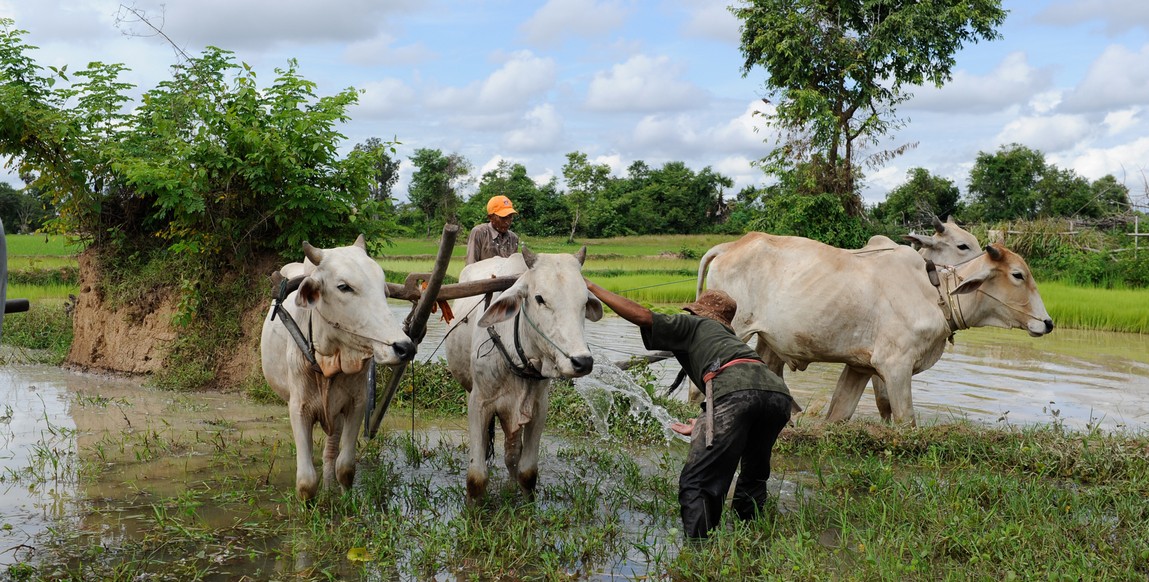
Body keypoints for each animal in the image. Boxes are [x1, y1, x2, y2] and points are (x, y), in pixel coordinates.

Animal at [261, 236, 418, 500]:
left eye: (384, 290)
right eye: (344, 287)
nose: (404, 347)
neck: (329, 358)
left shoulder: (356, 405)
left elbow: (345, 467)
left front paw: (345, 499)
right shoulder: (299, 408)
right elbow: (306, 480)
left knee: (330, 451)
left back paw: (328, 486)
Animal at [441, 247, 602, 502]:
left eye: (584, 301)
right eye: (539, 298)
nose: (582, 361)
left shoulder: (538, 407)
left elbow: (527, 472)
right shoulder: (479, 404)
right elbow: (476, 478)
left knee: (511, 452)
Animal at [693, 234, 1052, 427]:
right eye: (1018, 275)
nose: (1047, 323)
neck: (934, 293)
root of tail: (732, 245)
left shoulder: (861, 366)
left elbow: (839, 414)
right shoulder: (895, 366)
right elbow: (905, 419)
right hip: (734, 328)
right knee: (698, 389)